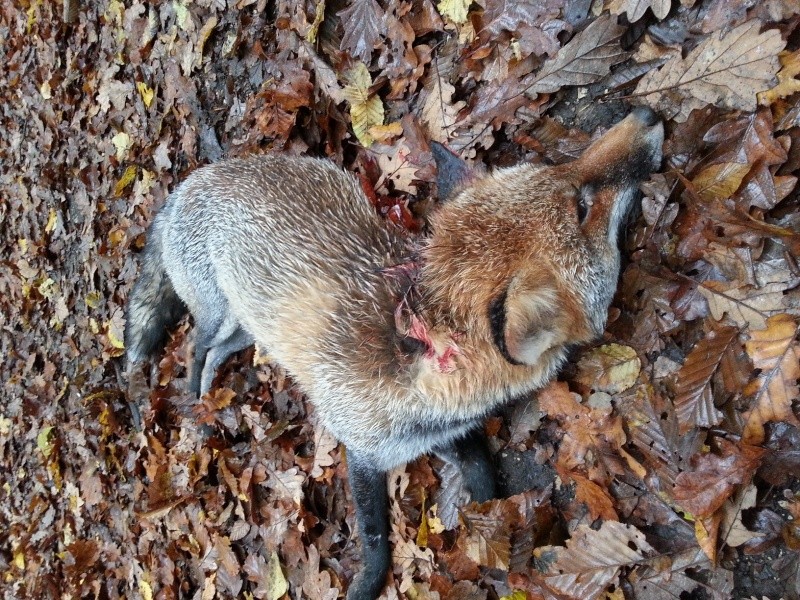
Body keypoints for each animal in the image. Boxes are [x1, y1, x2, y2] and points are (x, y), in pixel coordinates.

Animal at [125, 106, 664, 600]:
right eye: (582, 205)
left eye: (564, 172)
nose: (647, 114)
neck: (417, 356)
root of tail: (188, 184)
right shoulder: (363, 449)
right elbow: (375, 539)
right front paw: (367, 586)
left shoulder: (436, 432)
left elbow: (482, 474)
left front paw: (484, 523)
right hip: (220, 315)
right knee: (196, 346)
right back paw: (198, 400)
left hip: (249, 329)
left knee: (217, 349)